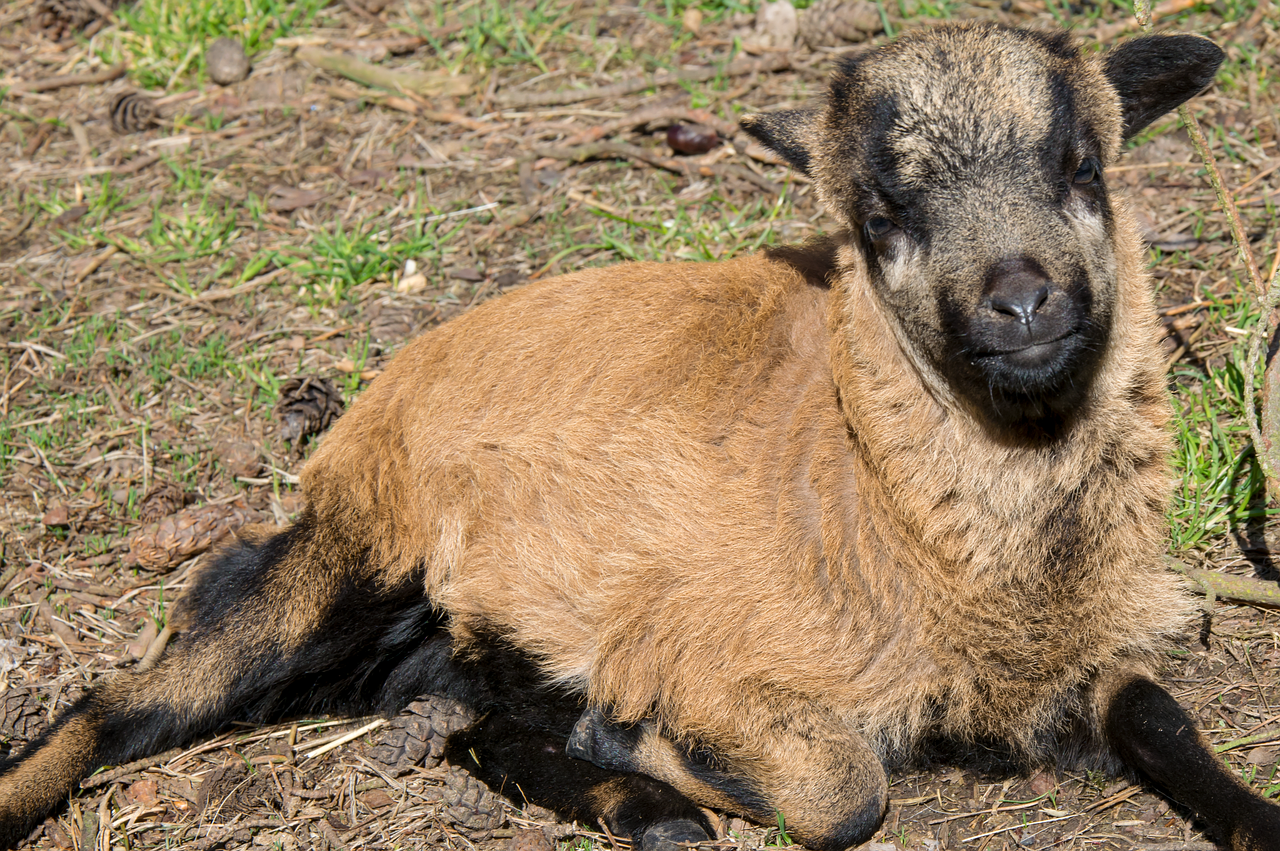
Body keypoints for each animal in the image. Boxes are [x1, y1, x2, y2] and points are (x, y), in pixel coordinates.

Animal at [2, 18, 1280, 849]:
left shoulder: (1088, 653)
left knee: (469, 713)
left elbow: (1159, 713)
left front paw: (1255, 817)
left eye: (1081, 166)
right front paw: (637, 741)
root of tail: (390, 382)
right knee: (123, 703)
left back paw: (616, 797)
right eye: (880, 214)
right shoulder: (722, 663)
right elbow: (841, 794)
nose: (1020, 301)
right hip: (347, 556)